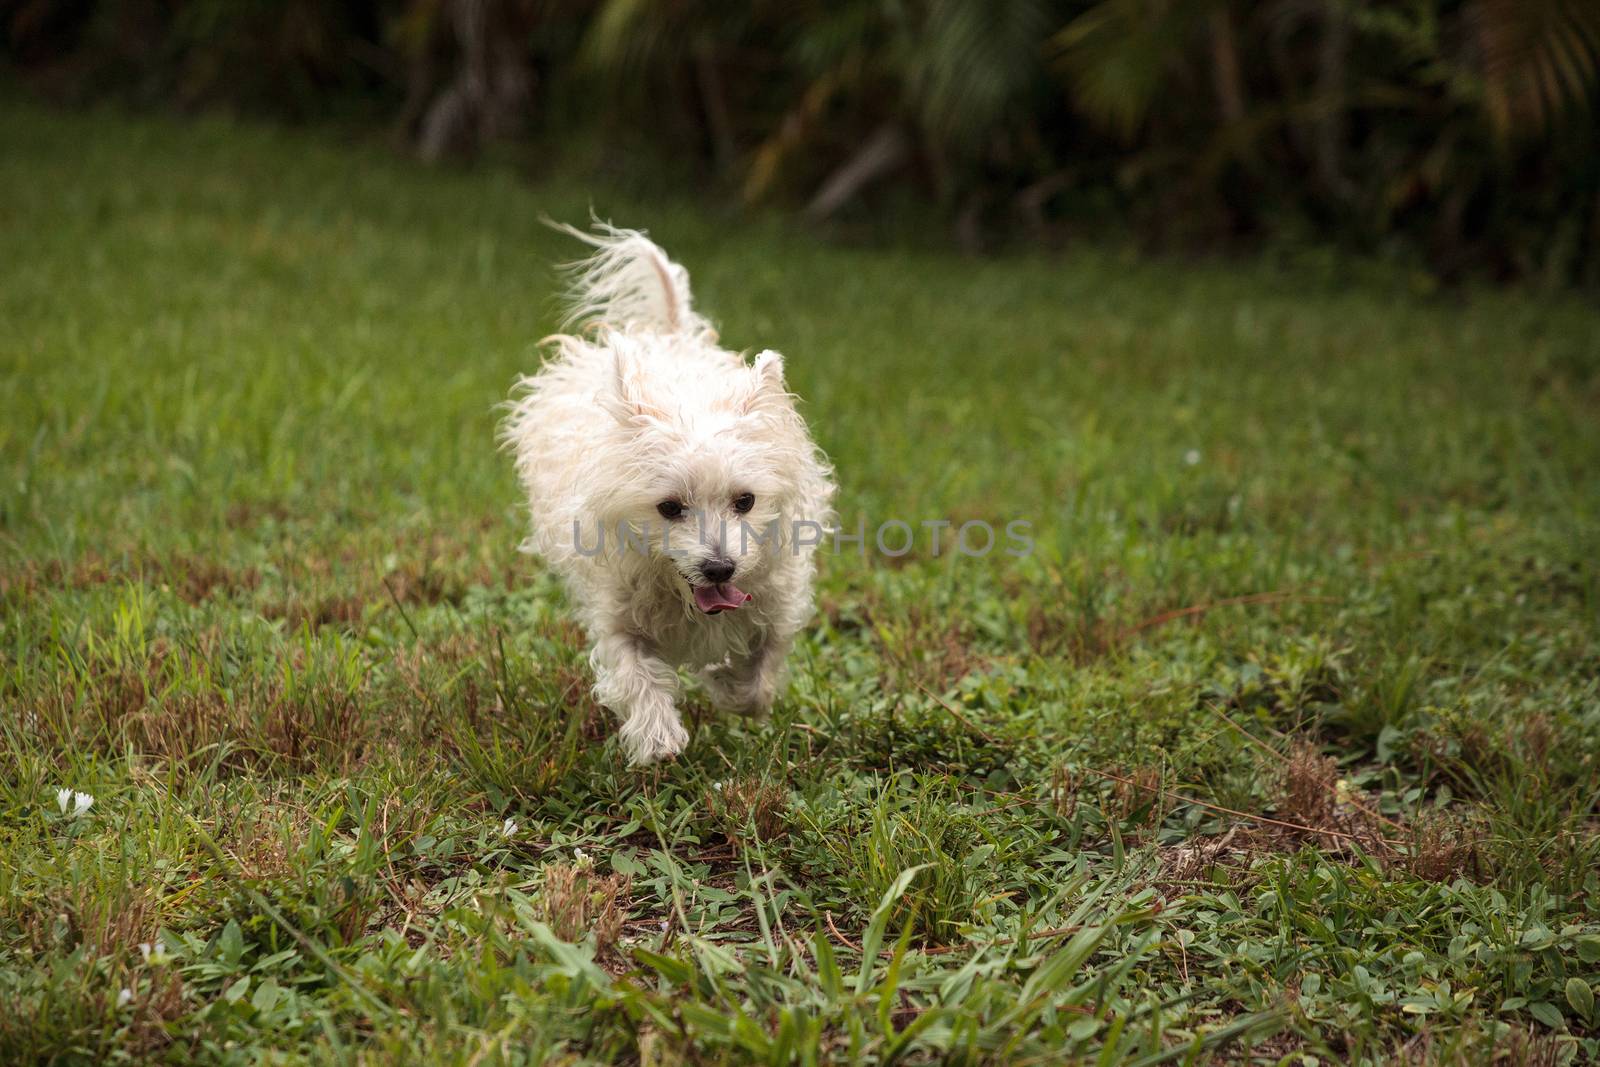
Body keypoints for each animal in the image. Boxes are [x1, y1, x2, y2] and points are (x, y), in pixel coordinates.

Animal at [502, 223, 838, 767]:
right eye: (669, 508)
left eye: (745, 501)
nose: (720, 568)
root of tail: (670, 336)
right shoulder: (617, 616)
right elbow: (635, 673)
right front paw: (658, 735)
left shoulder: (776, 603)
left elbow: (759, 677)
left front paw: (723, 683)